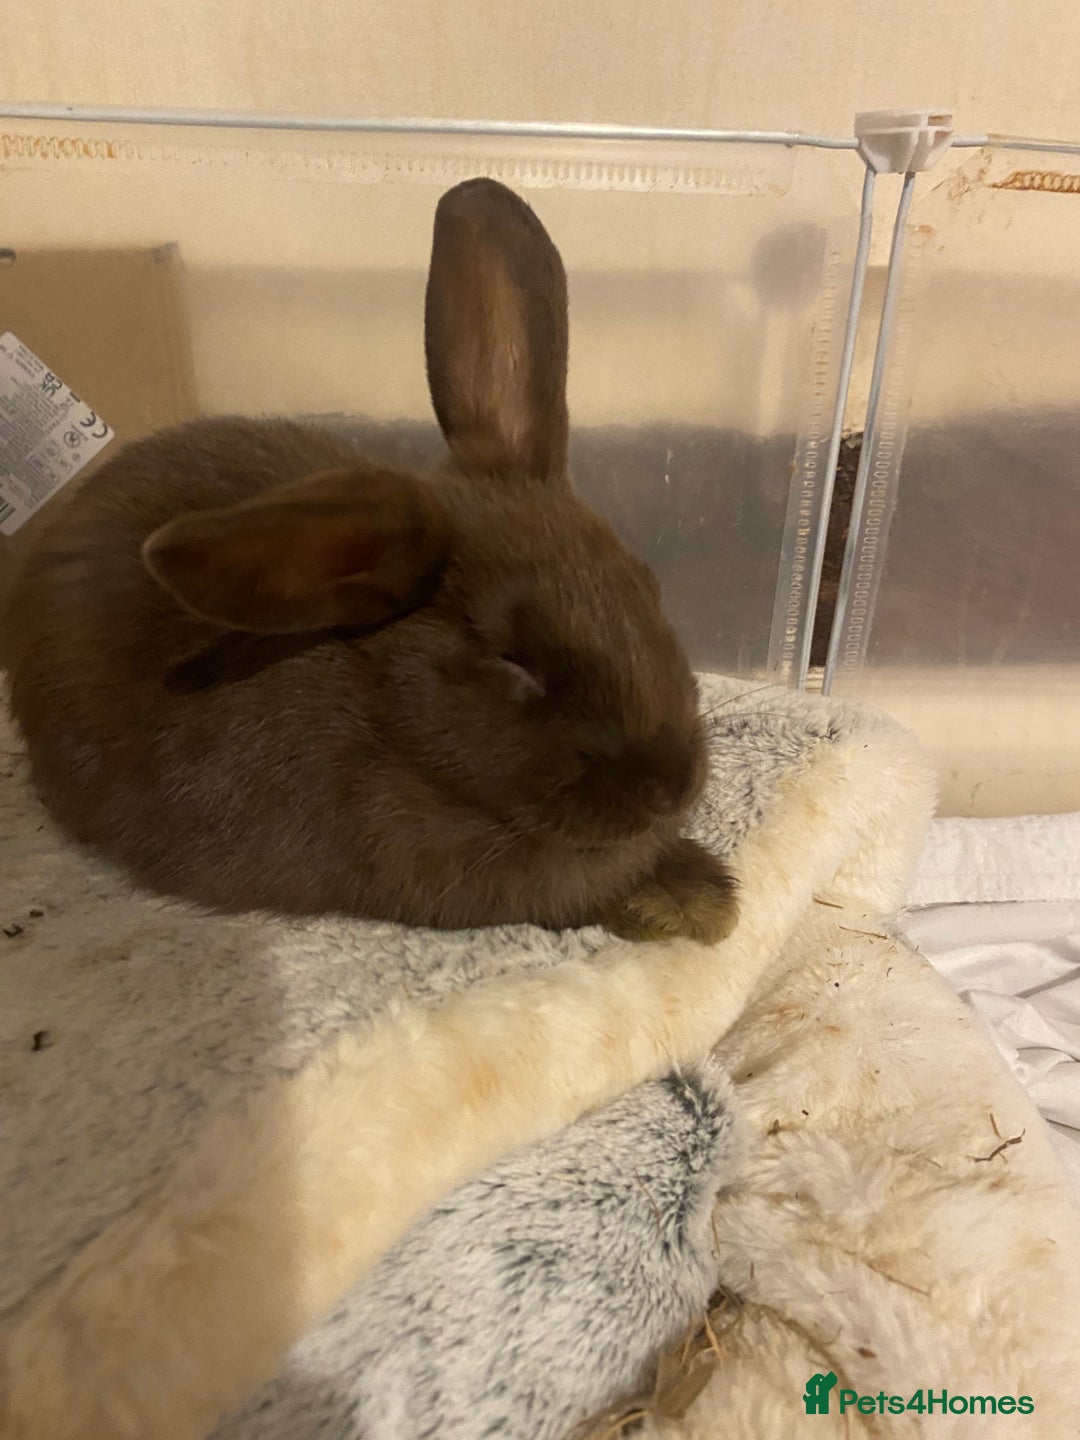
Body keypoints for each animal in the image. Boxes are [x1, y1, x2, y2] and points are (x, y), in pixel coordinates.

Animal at [4, 177, 737, 942]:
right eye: (513, 660)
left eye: (648, 588)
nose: (671, 787)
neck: (393, 722)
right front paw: (693, 903)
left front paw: (703, 893)